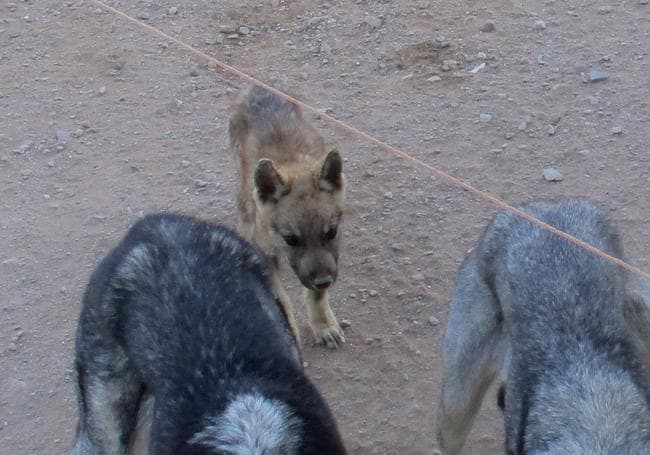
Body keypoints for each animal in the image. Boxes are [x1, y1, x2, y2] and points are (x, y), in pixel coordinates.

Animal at [230, 85, 346, 350]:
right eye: (291, 239)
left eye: (331, 232)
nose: (324, 280)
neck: (290, 163)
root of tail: (258, 88)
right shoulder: (264, 254)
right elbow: (279, 300)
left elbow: (316, 295)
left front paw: (323, 325)